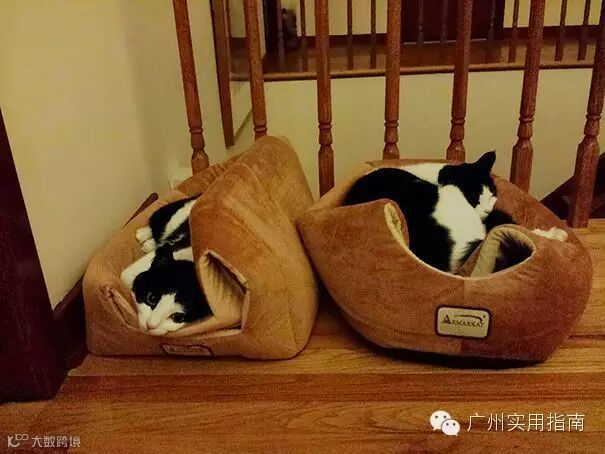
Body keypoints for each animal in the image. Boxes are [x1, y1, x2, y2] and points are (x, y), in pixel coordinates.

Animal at [120, 196, 211, 336]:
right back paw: (143, 235)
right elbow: (127, 279)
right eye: (151, 298)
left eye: (177, 317)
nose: (150, 325)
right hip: (173, 217)